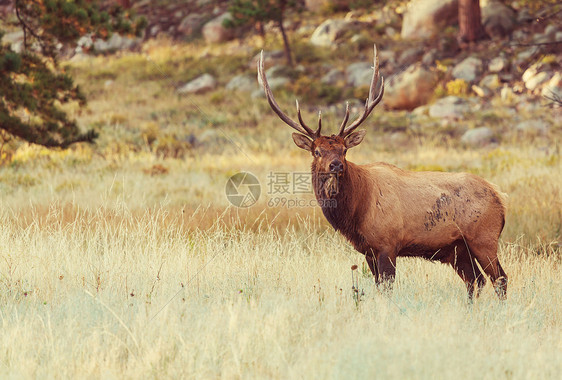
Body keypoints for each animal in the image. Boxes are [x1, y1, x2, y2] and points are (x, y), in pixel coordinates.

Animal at [258, 44, 508, 300]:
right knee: (475, 280)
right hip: (457, 248)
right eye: (317, 151)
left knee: (499, 278)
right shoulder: (368, 250)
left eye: (344, 150)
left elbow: (386, 287)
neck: (356, 211)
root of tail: (499, 197)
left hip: (484, 237)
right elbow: (377, 285)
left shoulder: (388, 243)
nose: (336, 165)